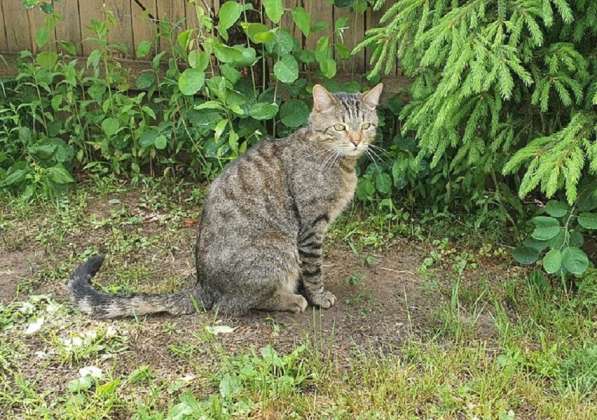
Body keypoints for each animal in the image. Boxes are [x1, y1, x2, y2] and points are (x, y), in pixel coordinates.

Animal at [68, 83, 382, 318]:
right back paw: (290, 300)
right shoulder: (311, 227)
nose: (356, 141)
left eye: (366, 125)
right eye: (340, 128)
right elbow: (314, 269)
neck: (337, 161)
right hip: (277, 249)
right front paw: (318, 296)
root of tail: (203, 285)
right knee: (234, 305)